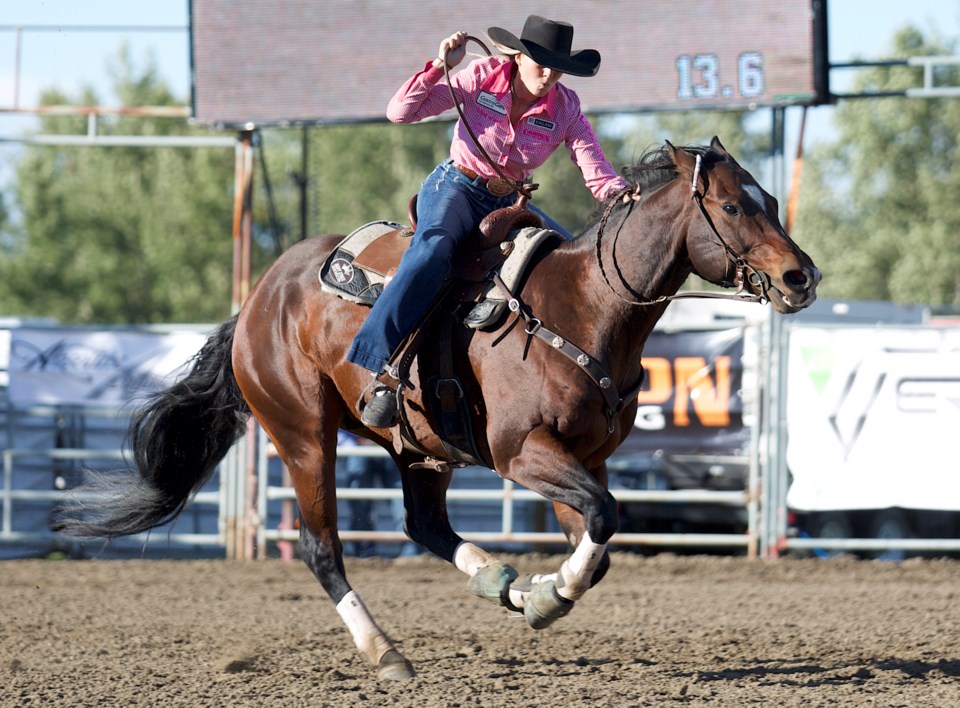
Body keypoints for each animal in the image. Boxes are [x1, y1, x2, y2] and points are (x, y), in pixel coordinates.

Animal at [54, 137, 816, 680]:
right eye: (734, 207)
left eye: (772, 201)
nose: (800, 276)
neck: (583, 308)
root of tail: (260, 298)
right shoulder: (521, 452)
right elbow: (602, 519)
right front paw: (549, 596)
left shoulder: (585, 458)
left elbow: (598, 539)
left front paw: (538, 593)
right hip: (301, 434)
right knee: (322, 548)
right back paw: (386, 653)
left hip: (420, 448)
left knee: (423, 524)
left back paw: (498, 582)